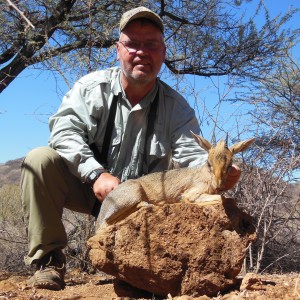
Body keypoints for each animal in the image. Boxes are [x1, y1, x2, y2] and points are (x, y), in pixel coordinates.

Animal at [98, 132, 255, 227]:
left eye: (229, 165)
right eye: (209, 163)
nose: (218, 184)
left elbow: (229, 199)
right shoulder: (192, 192)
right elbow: (219, 199)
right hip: (133, 194)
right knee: (109, 221)